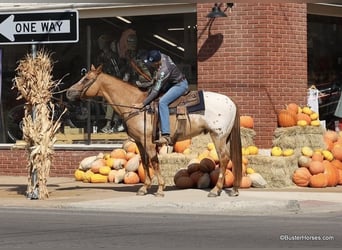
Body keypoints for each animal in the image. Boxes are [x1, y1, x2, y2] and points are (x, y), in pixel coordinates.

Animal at [66, 64, 243, 197]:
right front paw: (144, 188)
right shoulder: (139, 142)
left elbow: (154, 162)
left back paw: (215, 190)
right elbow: (144, 162)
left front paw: (160, 189)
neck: (137, 105)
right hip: (224, 137)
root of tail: (231, 101)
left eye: (86, 79)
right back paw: (232, 189)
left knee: (224, 158)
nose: (68, 92)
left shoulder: (149, 142)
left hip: (218, 136)